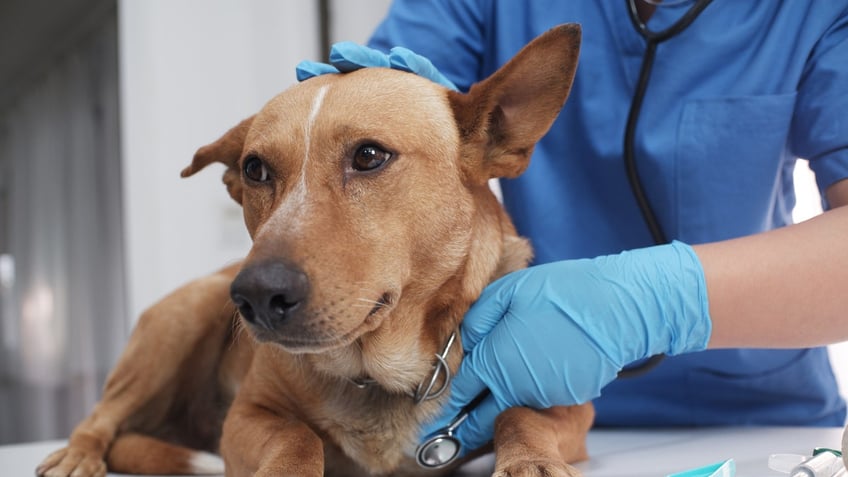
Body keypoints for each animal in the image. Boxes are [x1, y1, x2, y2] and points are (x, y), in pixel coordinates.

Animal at [34, 25, 588, 476]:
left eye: (369, 155)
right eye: (255, 169)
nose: (256, 296)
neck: (375, 371)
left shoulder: (571, 406)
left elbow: (521, 414)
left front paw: (530, 460)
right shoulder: (248, 415)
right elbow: (297, 436)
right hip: (181, 318)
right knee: (101, 417)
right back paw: (77, 454)